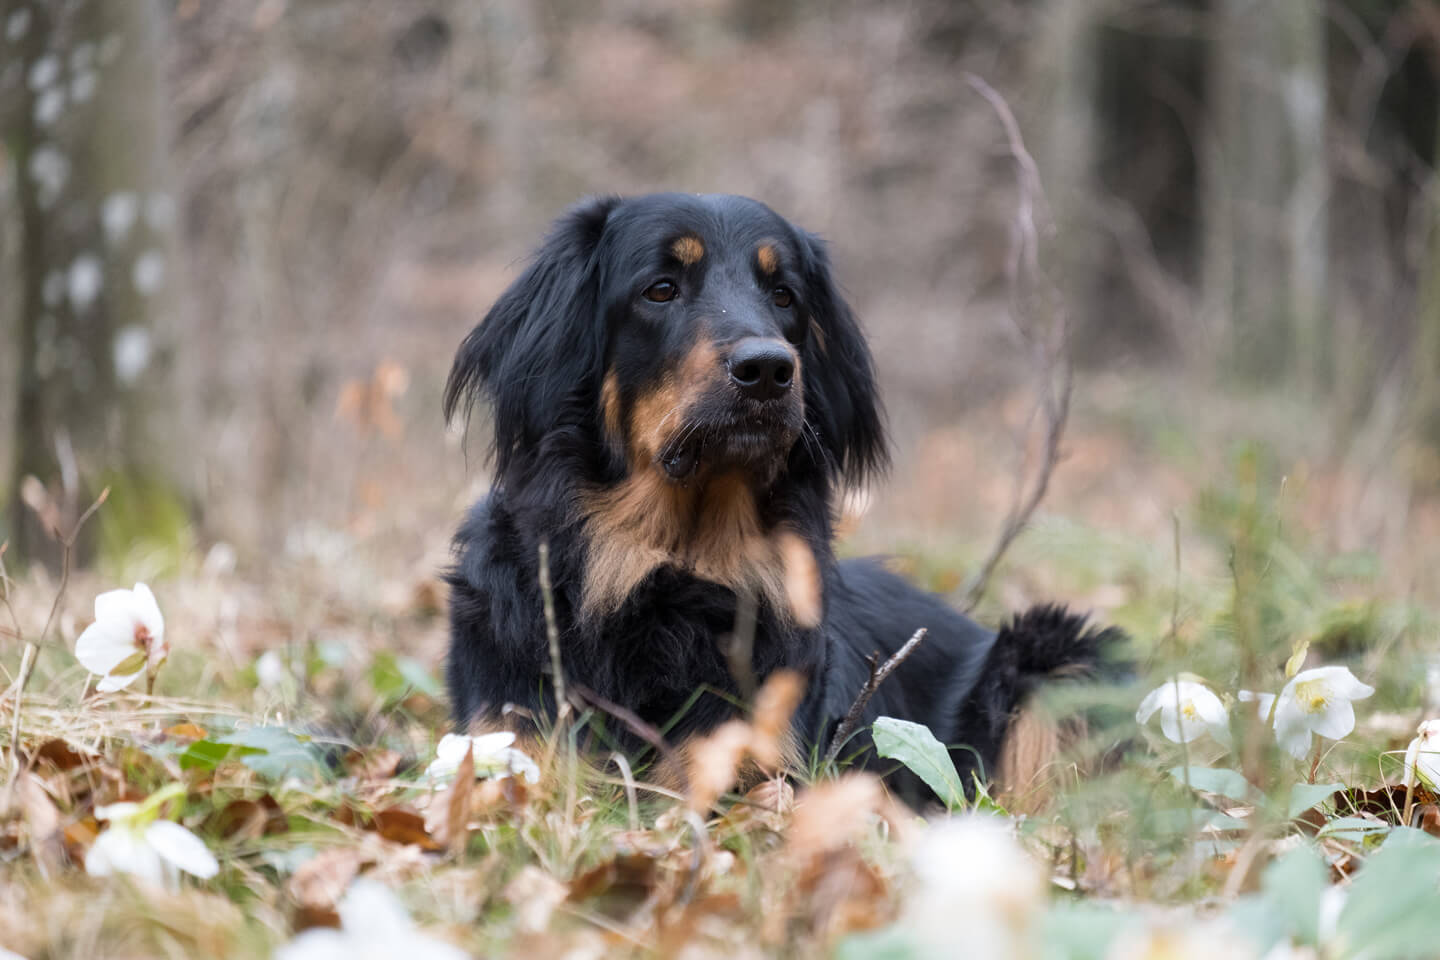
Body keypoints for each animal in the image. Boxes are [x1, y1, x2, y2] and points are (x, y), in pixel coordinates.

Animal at [443, 193, 1122, 807]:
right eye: (660, 289)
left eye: (784, 295)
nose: (768, 369)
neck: (667, 571)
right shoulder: (510, 737)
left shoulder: (755, 768)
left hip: (1055, 660)